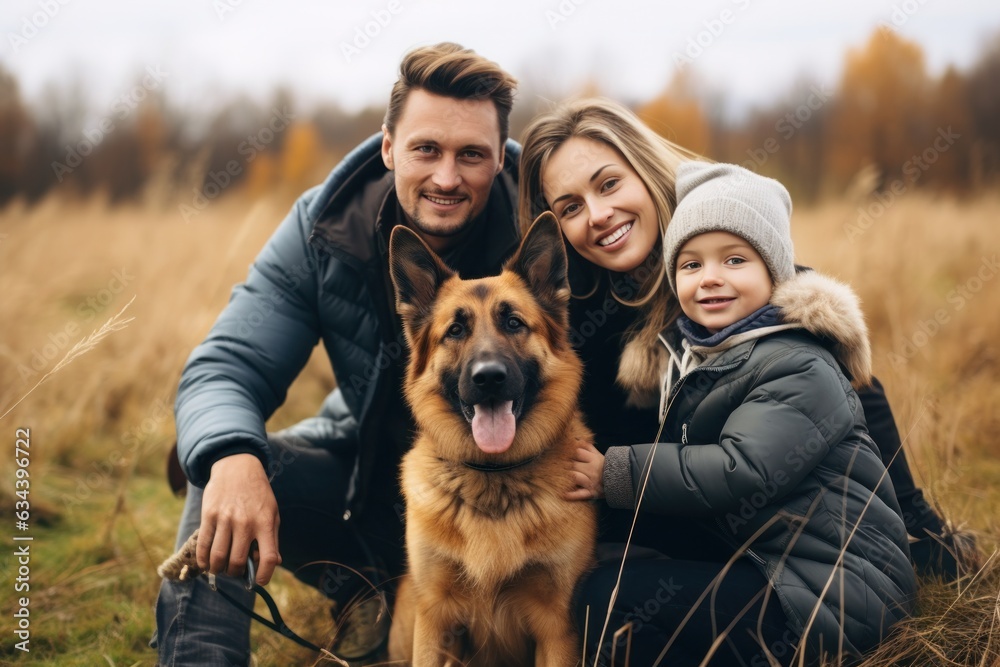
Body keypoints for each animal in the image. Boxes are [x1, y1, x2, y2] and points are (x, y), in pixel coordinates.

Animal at [386, 215, 596, 667]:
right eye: (455, 330)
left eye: (514, 323)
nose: (489, 378)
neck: (494, 479)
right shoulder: (435, 620)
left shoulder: (558, 628)